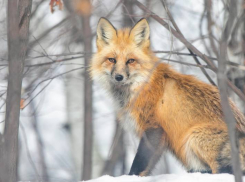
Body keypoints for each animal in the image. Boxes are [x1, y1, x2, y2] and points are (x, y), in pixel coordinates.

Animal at [91, 17, 245, 176]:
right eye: (112, 60)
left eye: (131, 61)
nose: (119, 77)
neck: (141, 85)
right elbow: (147, 167)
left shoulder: (154, 128)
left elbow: (139, 163)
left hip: (194, 137)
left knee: (225, 171)